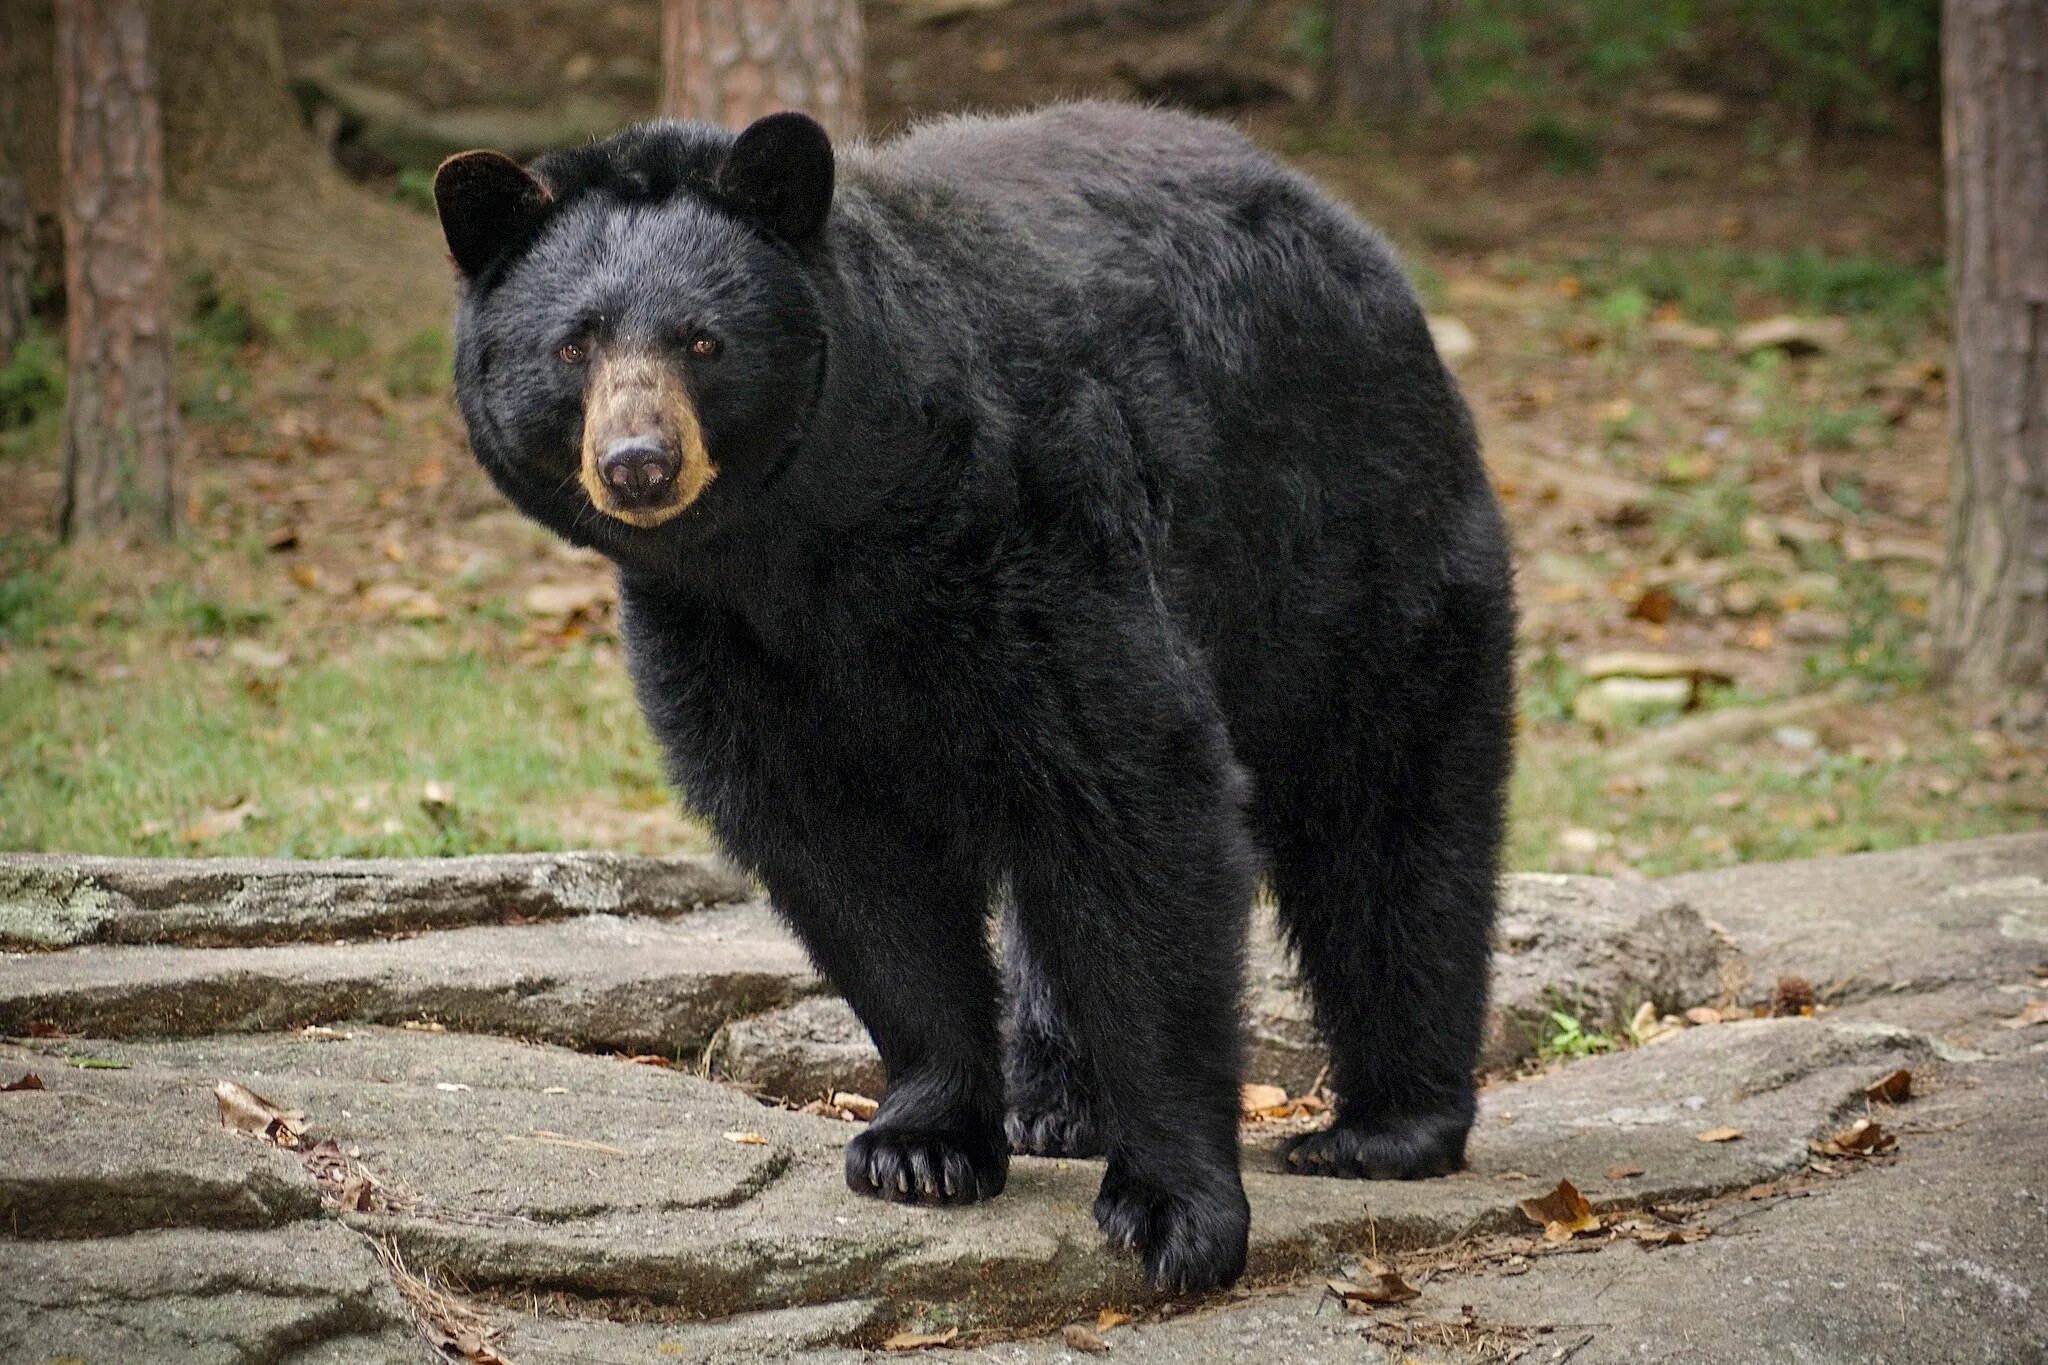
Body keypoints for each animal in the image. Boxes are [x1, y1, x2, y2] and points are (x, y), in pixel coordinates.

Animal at [436, 104, 1523, 1293]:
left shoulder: (1042, 519)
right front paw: (921, 1145)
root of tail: (1350, 229)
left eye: (702, 341)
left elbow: (1137, 795)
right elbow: (850, 867)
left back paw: (1385, 1126)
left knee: (1386, 810)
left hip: (1347, 533)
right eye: (574, 344)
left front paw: (1175, 1207)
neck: (812, 544)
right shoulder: (720, 644)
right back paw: (1057, 1104)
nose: (638, 462)